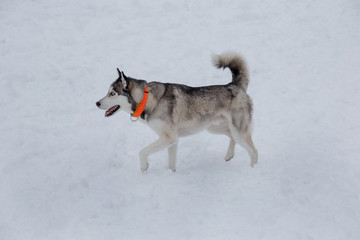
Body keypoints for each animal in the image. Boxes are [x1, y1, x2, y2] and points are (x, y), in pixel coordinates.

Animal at [97, 52, 258, 172]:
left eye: (112, 93)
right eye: (107, 92)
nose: (97, 103)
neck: (147, 99)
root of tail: (235, 85)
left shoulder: (168, 138)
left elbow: (142, 151)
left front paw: (144, 167)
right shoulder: (172, 140)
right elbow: (171, 163)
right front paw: (171, 175)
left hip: (237, 130)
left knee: (254, 152)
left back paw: (253, 170)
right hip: (214, 128)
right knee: (233, 138)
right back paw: (229, 155)